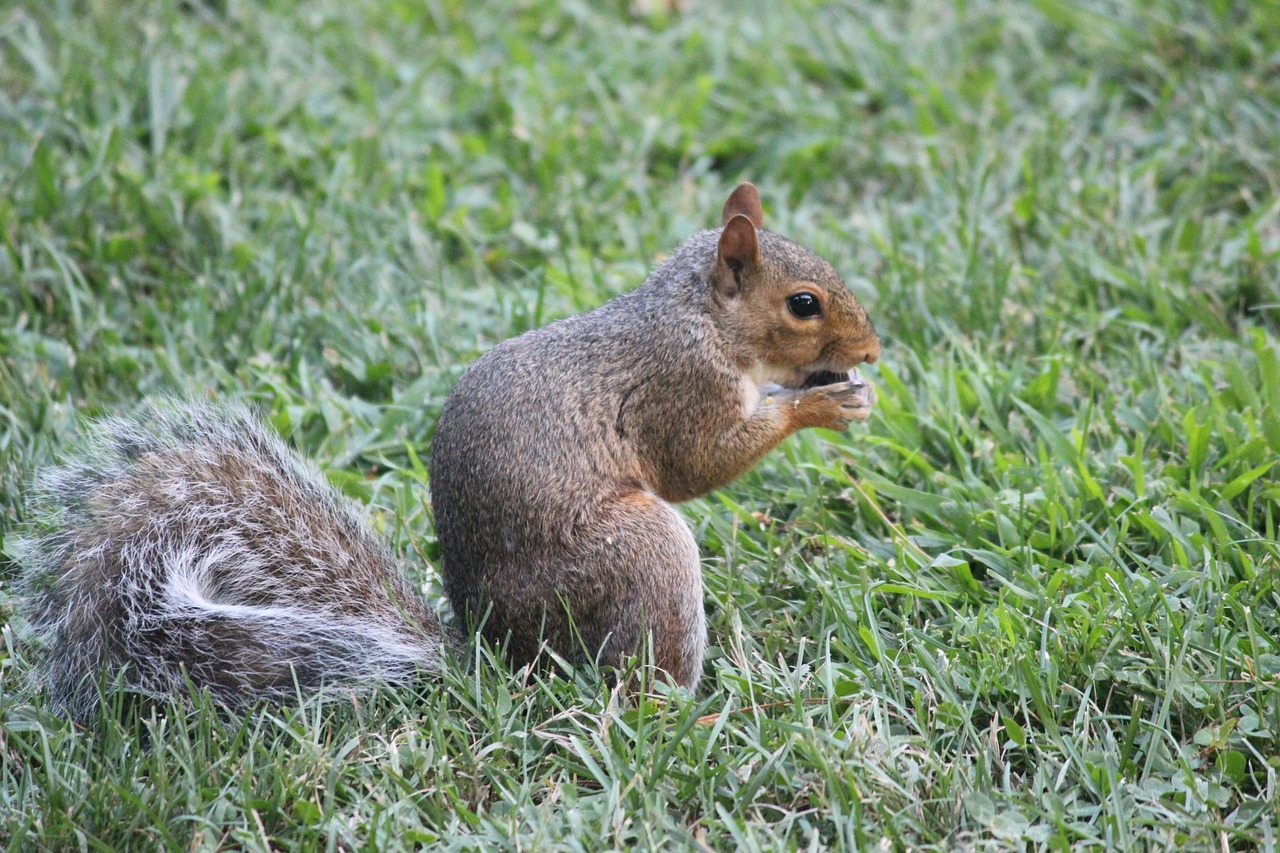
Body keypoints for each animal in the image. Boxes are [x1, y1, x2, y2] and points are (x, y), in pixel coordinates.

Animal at [10, 183, 885, 712]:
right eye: (803, 304)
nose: (872, 350)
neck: (698, 318)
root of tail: (502, 655)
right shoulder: (679, 388)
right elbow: (700, 460)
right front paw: (820, 403)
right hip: (638, 551)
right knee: (634, 673)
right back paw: (684, 711)